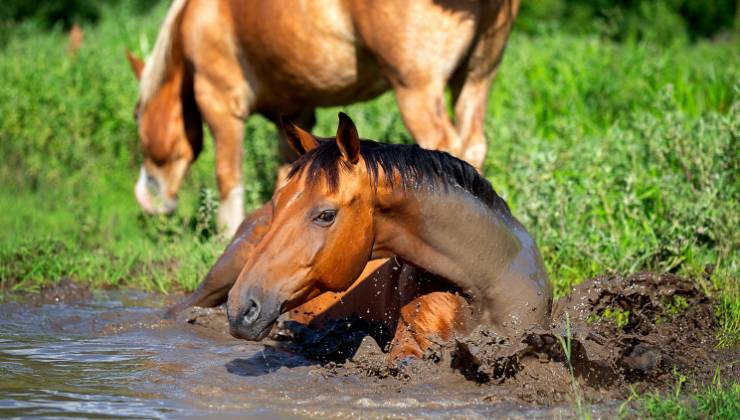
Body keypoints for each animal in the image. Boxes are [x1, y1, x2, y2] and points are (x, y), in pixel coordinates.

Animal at [125, 0, 520, 236]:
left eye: (136, 113)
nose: (149, 200)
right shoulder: (295, 112)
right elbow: (289, 177)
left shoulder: (220, 102)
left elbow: (228, 177)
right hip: (476, 79)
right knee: (473, 148)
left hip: (417, 89)